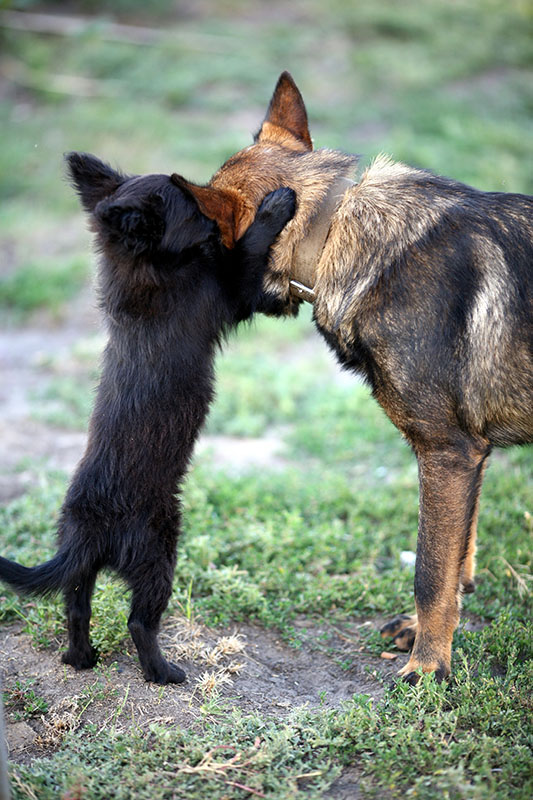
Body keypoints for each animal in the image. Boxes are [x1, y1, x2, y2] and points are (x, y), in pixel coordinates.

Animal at [0, 153, 296, 684]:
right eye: (195, 210)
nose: (218, 221)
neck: (145, 269)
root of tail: (92, 527)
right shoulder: (226, 290)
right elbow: (249, 254)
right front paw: (275, 206)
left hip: (81, 563)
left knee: (76, 608)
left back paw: (80, 659)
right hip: (160, 547)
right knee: (140, 621)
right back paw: (164, 672)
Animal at [176, 73, 532, 680]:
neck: (333, 228)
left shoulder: (447, 453)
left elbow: (430, 569)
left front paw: (427, 669)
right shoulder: (471, 455)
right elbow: (459, 559)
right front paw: (432, 637)